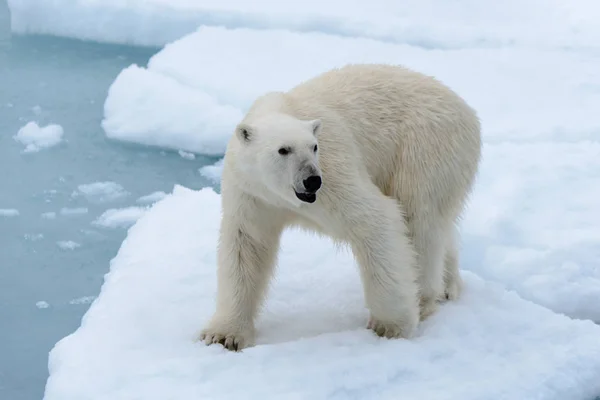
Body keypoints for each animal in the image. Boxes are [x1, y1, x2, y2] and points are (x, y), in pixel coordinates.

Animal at [199, 63, 480, 350]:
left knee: (420, 220)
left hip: (425, 147)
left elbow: (376, 219)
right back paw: (448, 286)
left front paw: (390, 326)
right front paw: (224, 335)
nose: (312, 180)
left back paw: (424, 299)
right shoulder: (252, 192)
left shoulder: (333, 170)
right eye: (283, 150)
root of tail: (466, 108)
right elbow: (246, 245)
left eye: (314, 147)